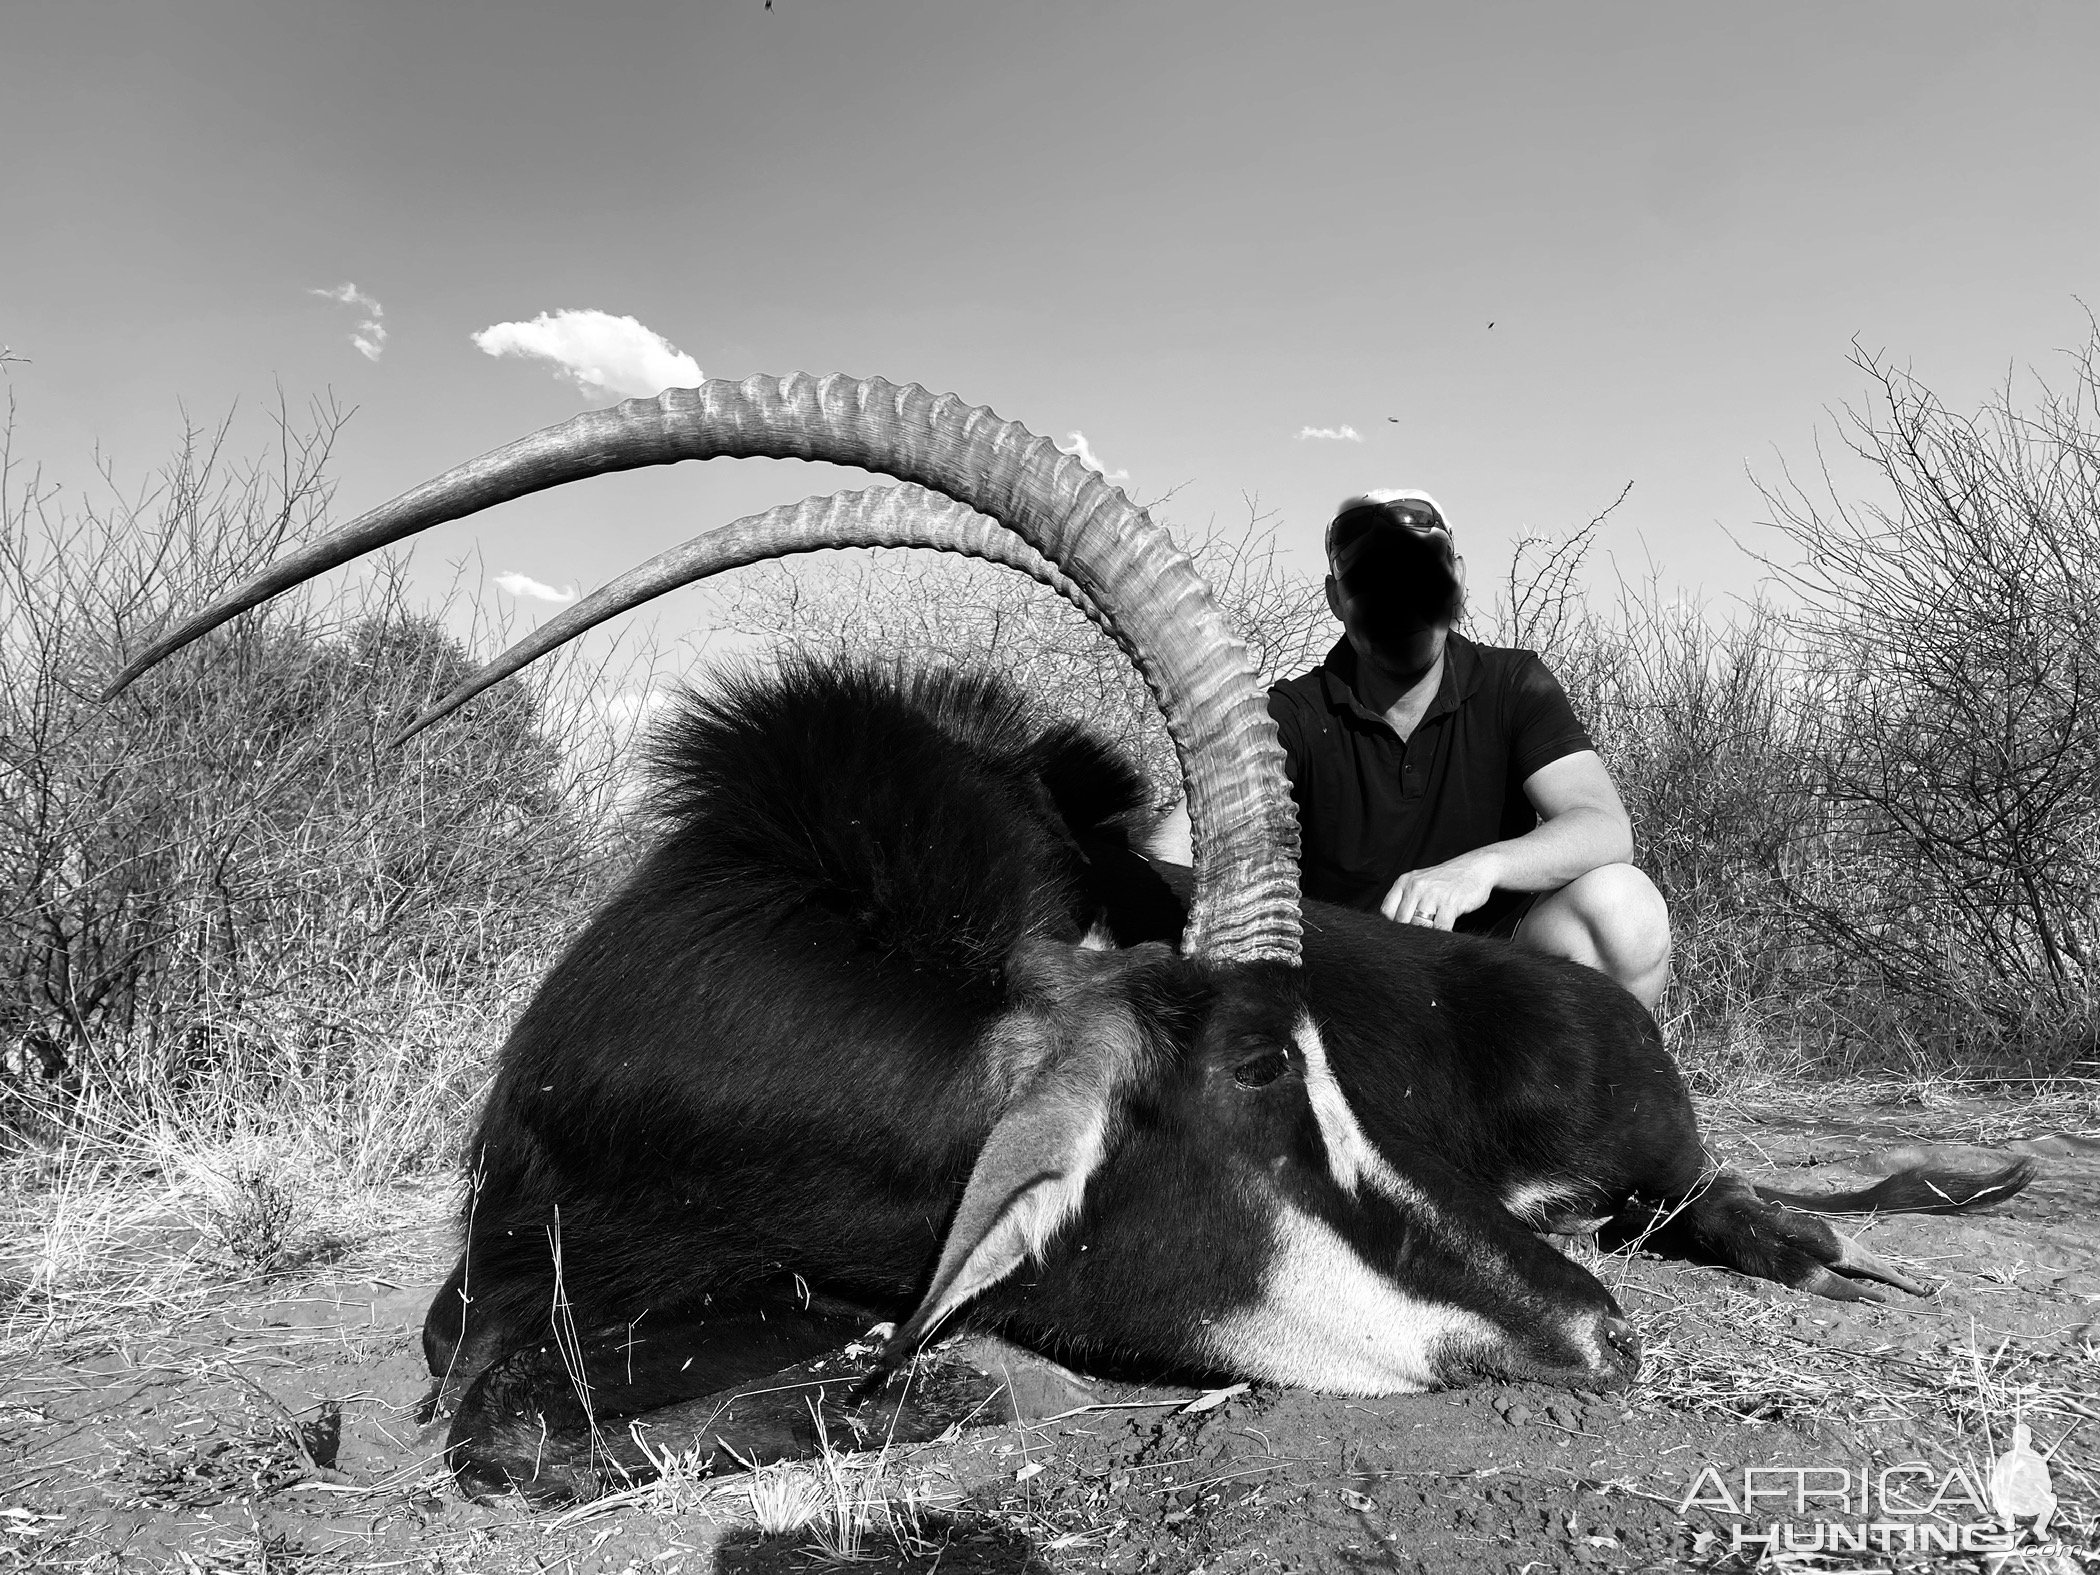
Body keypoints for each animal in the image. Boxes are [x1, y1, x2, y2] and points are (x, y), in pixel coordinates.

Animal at [110, 373, 2032, 1503]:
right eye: (1253, 1067)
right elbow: (500, 1417)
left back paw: (1841, 1244)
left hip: (1648, 1134)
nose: (1596, 1337)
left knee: (1724, 1193)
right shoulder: (516, 1274)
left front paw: (913, 1389)